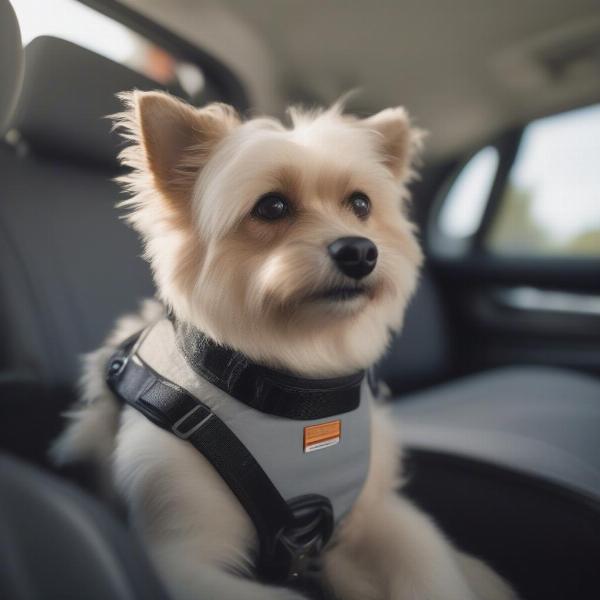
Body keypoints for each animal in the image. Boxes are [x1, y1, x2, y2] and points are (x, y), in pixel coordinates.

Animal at [52, 90, 516, 600]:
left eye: (360, 203)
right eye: (271, 207)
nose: (360, 251)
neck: (298, 388)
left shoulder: (377, 515)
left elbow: (429, 568)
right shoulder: (182, 557)